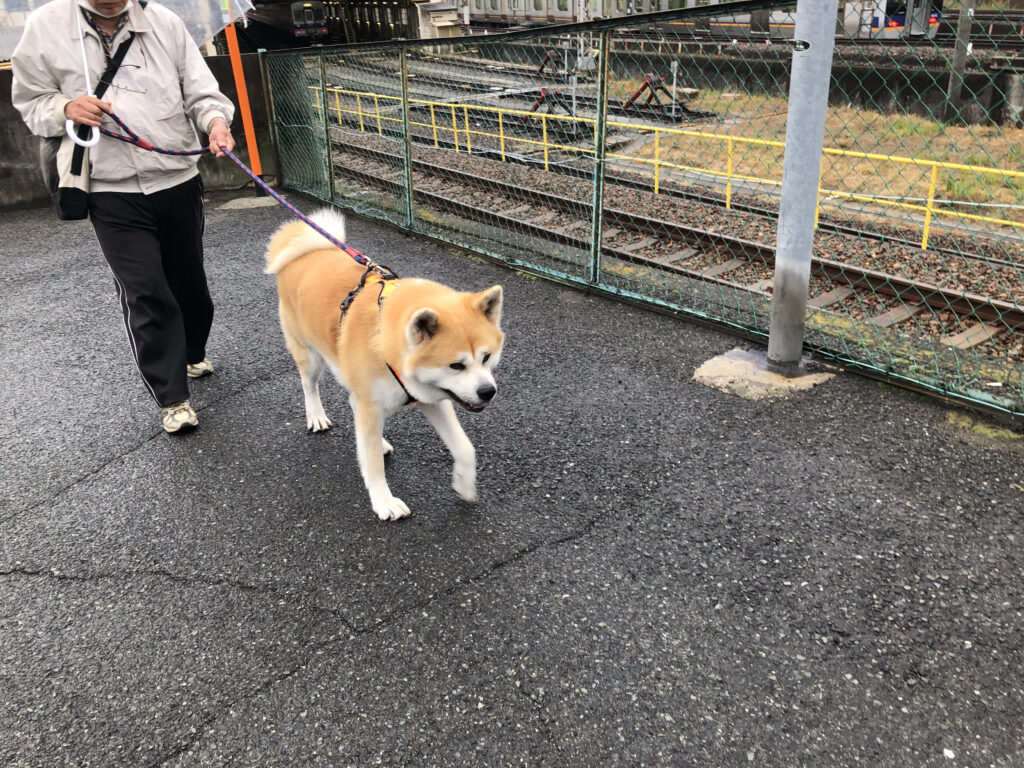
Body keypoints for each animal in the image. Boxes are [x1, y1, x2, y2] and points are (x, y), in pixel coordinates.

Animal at [264, 210, 503, 524]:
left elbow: (465, 448)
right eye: (456, 365)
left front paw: (464, 484)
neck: (384, 338)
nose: (488, 392)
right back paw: (316, 416)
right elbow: (373, 465)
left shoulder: (431, 397)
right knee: (309, 385)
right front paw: (383, 502)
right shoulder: (372, 403)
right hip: (310, 356)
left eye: (487, 357)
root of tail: (307, 250)